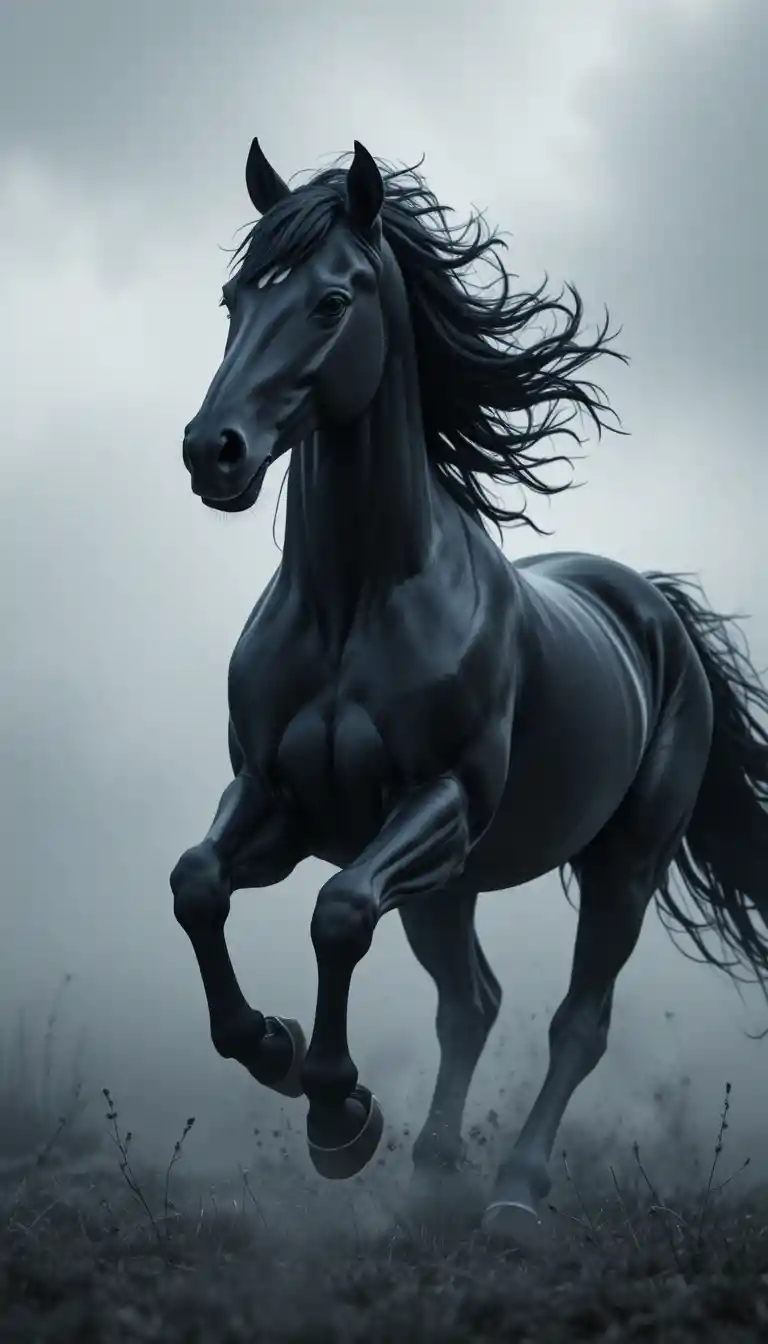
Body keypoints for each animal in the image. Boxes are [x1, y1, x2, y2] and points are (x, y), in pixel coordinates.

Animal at [171, 137, 768, 1238]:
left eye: (332, 301)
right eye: (235, 297)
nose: (212, 452)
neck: (355, 605)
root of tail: (653, 607)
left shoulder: (439, 803)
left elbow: (336, 916)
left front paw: (337, 1113)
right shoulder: (276, 802)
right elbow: (197, 887)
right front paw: (282, 1055)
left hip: (620, 863)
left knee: (578, 1022)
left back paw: (513, 1195)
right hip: (450, 890)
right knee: (473, 1001)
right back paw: (434, 1169)